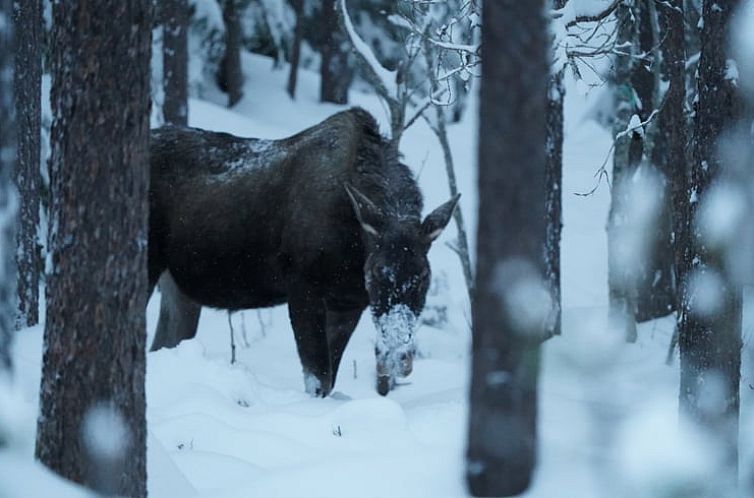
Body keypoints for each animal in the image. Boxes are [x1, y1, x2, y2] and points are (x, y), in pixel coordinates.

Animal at [144, 109, 456, 396]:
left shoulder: (349, 303)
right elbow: (318, 378)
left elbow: (330, 378)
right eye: (376, 273)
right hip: (151, 263)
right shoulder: (303, 287)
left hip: (177, 286)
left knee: (161, 343)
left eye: (423, 277)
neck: (354, 249)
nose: (396, 357)